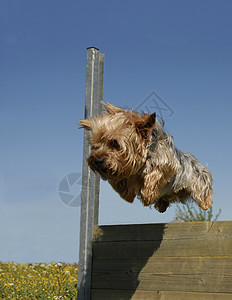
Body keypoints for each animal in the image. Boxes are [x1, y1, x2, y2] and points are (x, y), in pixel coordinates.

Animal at [79, 103, 213, 213]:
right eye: (96, 145)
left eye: (115, 143)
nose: (97, 160)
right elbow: (120, 181)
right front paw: (127, 194)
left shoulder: (168, 164)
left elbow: (155, 173)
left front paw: (147, 195)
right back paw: (161, 205)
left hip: (200, 181)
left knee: (204, 193)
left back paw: (206, 204)